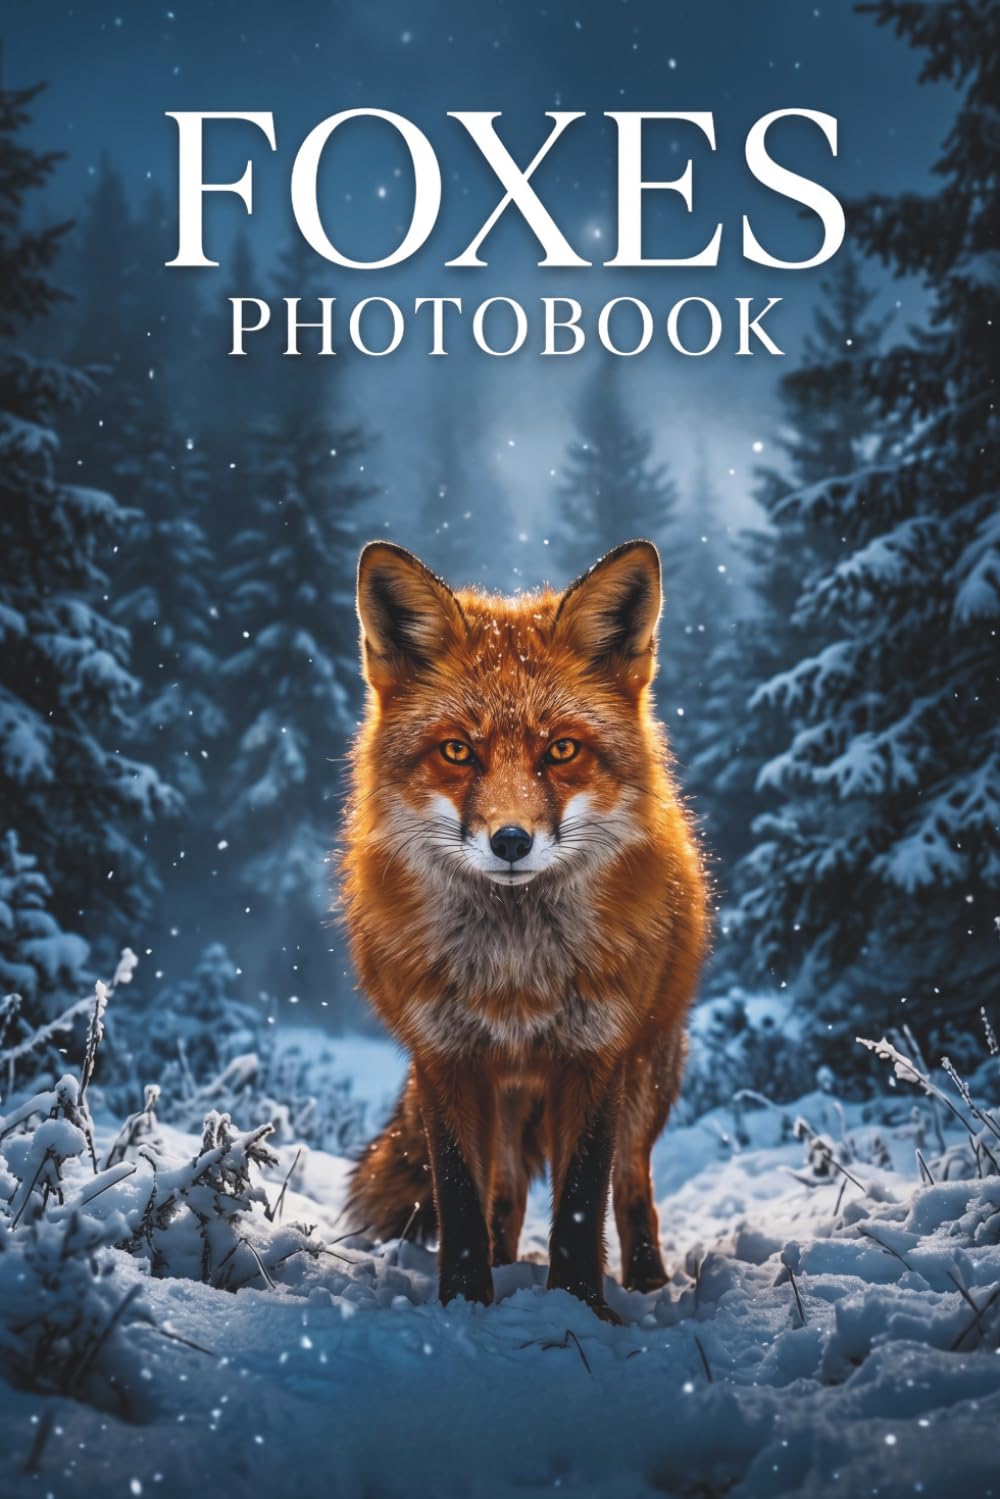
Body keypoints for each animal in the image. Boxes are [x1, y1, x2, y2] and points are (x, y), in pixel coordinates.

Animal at [341, 538, 707, 1322]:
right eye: (457, 751)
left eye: (561, 750)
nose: (511, 840)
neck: (515, 976)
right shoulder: (445, 1058)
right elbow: (459, 1200)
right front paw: (465, 1304)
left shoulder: (596, 1057)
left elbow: (580, 1203)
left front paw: (579, 1308)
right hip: (503, 1100)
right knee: (504, 1194)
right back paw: (506, 1267)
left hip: (646, 1078)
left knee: (633, 1188)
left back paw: (648, 1283)